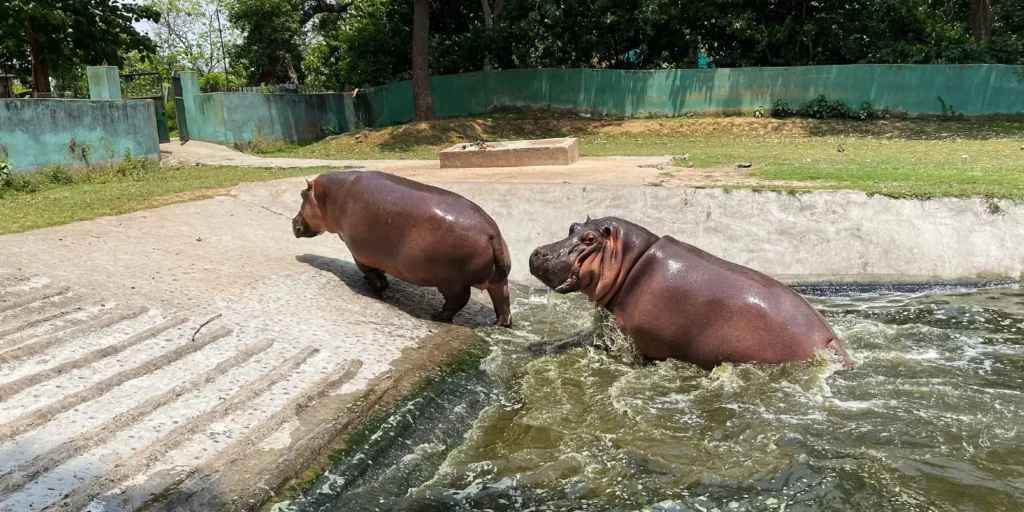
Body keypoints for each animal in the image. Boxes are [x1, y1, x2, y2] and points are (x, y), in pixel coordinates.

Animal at [293, 171, 512, 327]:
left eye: (302, 194)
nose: (293, 221)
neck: (330, 195)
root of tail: (491, 232)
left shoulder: (358, 252)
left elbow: (369, 271)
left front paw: (379, 287)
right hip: (496, 280)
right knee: (502, 298)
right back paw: (499, 323)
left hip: (451, 282)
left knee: (459, 300)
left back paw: (438, 315)